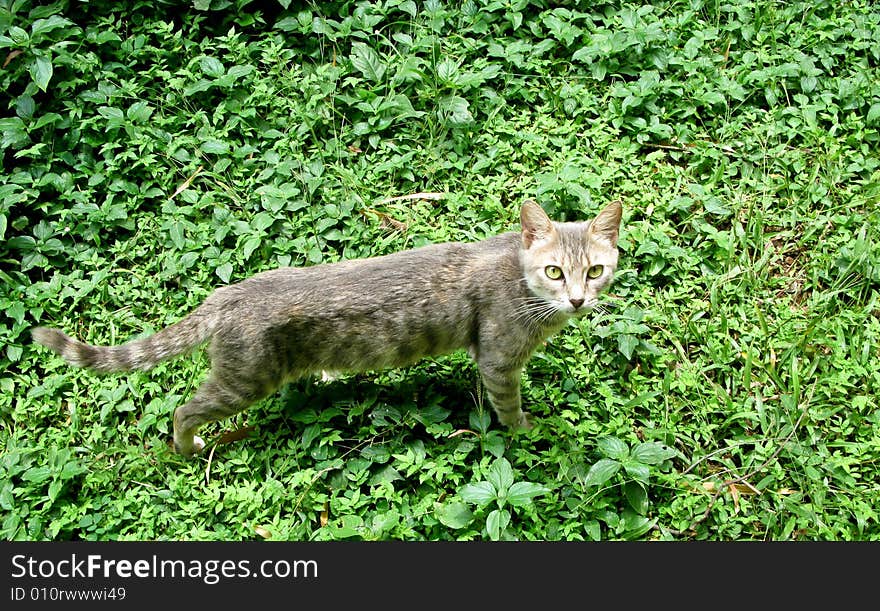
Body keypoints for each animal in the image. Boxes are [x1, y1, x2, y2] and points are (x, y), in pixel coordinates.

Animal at [32, 198, 620, 456]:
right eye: (554, 271)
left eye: (595, 270)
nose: (578, 299)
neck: (520, 279)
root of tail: (227, 294)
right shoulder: (498, 358)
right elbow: (508, 406)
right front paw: (527, 431)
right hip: (244, 380)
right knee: (184, 410)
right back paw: (188, 446)